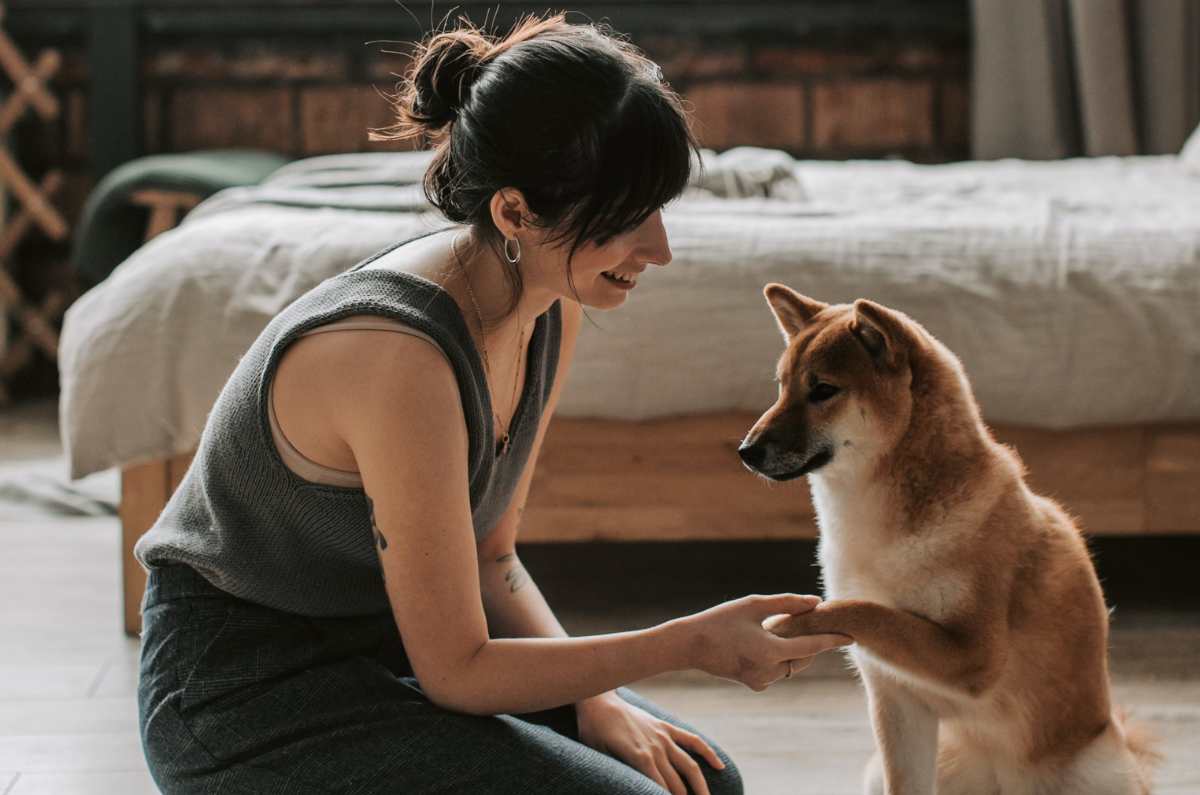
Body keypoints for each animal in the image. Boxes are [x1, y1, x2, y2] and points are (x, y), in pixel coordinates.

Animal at [734, 287, 1156, 795]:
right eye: (781, 387)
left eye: (822, 390)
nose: (746, 451)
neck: (878, 527)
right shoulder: (896, 700)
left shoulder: (972, 654)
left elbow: (865, 610)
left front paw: (787, 624)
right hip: (884, 770)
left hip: (1092, 768)